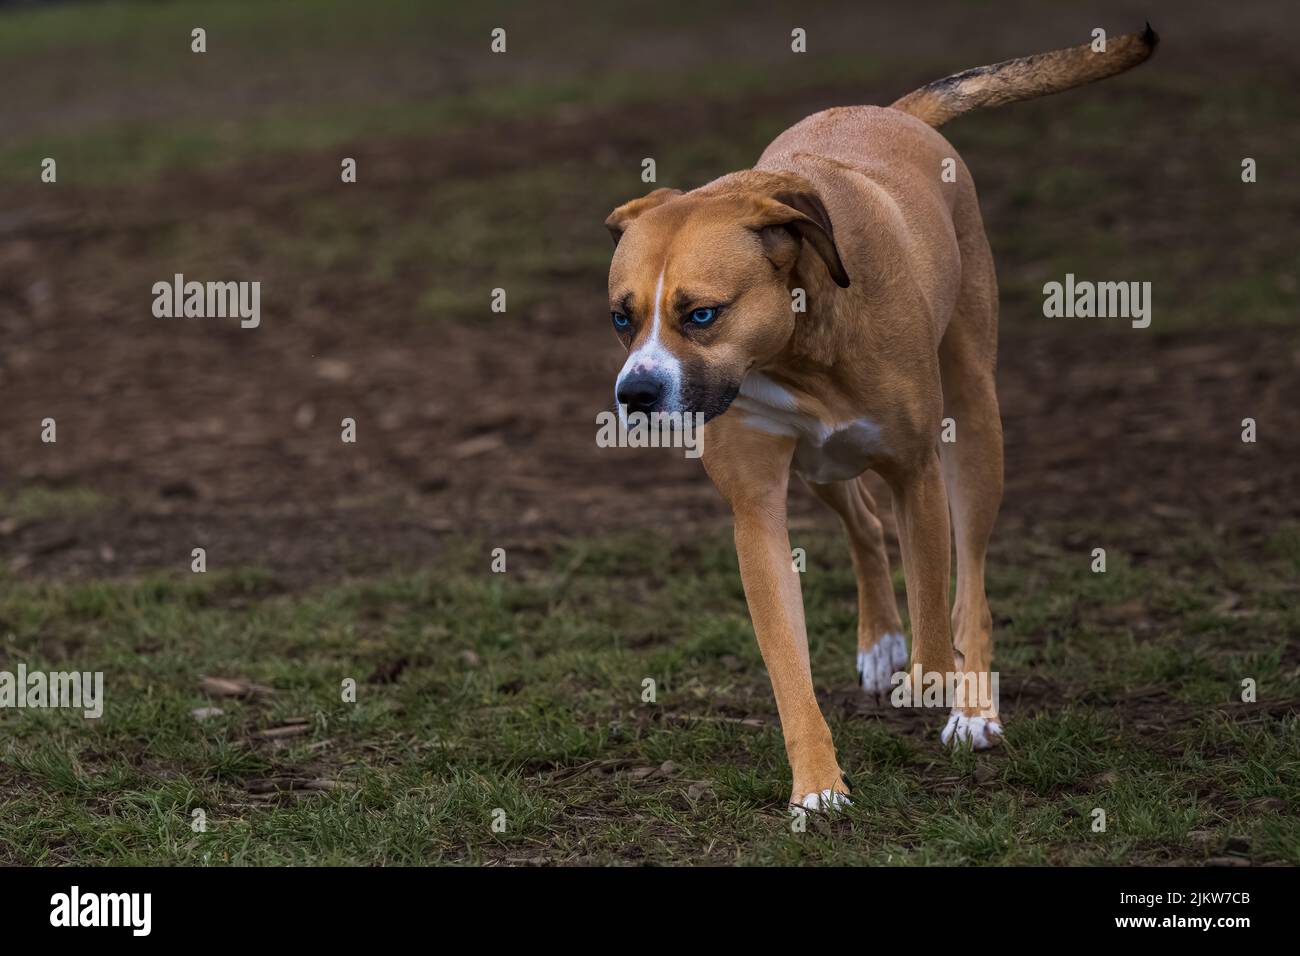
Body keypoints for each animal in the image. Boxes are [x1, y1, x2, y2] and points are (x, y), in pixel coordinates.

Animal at [600, 27, 1159, 806]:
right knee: (863, 524)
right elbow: (787, 657)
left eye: (702, 314)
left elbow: (933, 588)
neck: (799, 347)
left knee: (970, 573)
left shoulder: (915, 470)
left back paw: (973, 705)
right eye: (622, 317)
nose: (636, 394)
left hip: (974, 419)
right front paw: (816, 783)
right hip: (822, 467)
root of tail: (894, 113)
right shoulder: (757, 506)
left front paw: (938, 687)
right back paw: (880, 641)